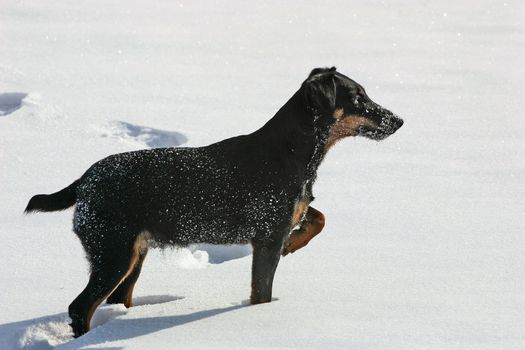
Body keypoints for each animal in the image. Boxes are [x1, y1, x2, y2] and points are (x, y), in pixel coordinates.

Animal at [24, 66, 404, 336]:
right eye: (358, 98)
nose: (399, 120)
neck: (295, 151)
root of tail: (83, 182)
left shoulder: (287, 216)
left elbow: (318, 216)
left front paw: (294, 243)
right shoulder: (266, 237)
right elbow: (261, 292)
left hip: (133, 253)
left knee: (116, 299)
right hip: (113, 253)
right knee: (79, 307)